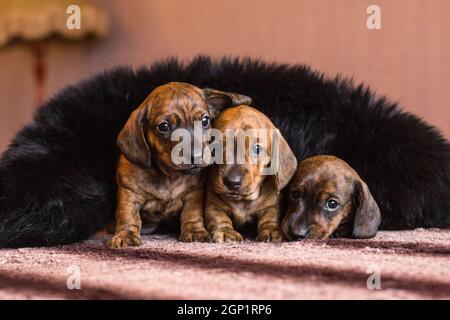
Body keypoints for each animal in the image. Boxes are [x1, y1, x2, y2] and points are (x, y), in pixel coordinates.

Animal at [107, 80, 251, 248]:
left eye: (205, 121)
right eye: (164, 126)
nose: (196, 156)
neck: (169, 175)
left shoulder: (193, 193)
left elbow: (192, 213)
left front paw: (194, 231)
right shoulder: (129, 193)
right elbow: (128, 215)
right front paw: (127, 234)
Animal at [205, 105, 298, 242]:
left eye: (257, 149)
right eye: (215, 148)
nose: (232, 182)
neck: (243, 201)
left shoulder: (272, 205)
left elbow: (270, 218)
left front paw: (271, 230)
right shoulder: (213, 203)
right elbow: (218, 217)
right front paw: (226, 231)